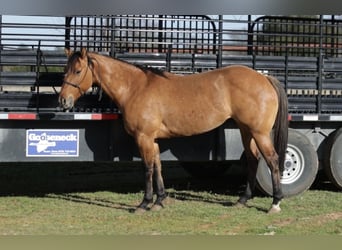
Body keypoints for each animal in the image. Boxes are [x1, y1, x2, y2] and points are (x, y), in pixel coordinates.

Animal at [59, 48, 288, 213]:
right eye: (65, 70)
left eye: (77, 71)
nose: (63, 100)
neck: (136, 88)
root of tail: (263, 78)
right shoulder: (152, 139)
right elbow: (158, 167)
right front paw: (159, 200)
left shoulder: (143, 138)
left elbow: (147, 168)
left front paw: (144, 203)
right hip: (245, 131)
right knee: (253, 159)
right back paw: (243, 199)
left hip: (259, 133)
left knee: (272, 160)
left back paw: (275, 203)